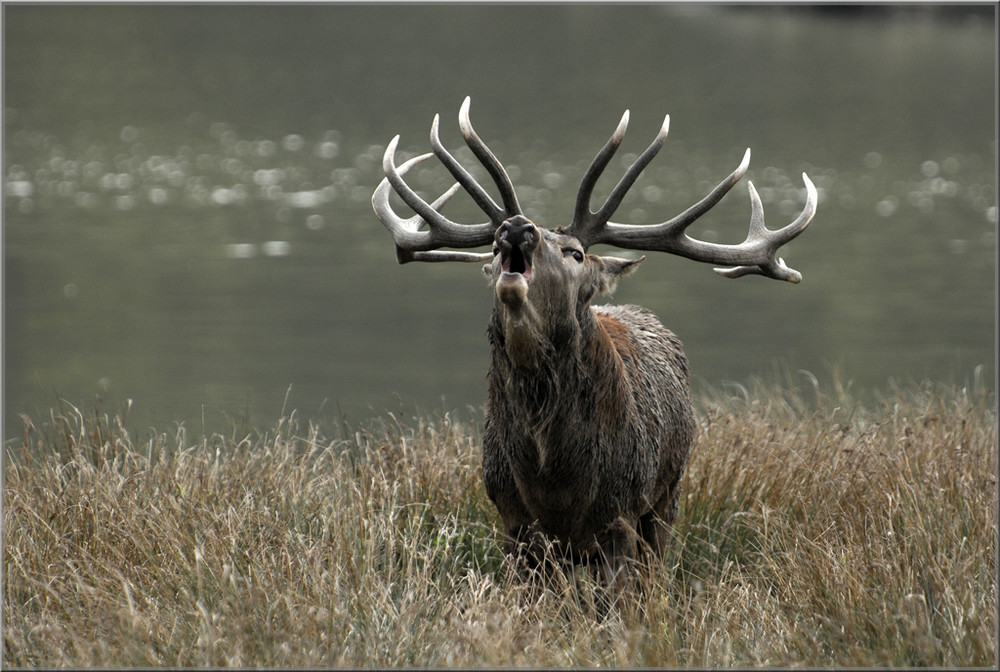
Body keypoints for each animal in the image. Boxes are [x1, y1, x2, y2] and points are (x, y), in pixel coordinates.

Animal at [372, 96, 816, 584]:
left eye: (576, 253)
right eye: (491, 249)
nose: (516, 227)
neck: (553, 477)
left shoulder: (620, 511)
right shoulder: (512, 518)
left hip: (668, 493)